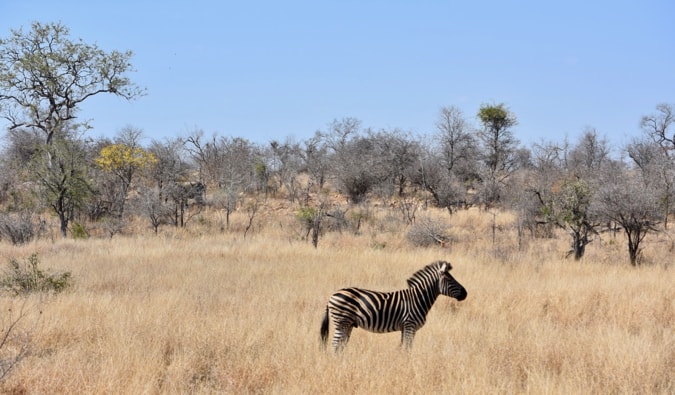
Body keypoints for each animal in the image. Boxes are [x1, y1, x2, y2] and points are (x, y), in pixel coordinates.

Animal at [320, 262, 468, 352]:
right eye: (450, 279)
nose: (465, 293)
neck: (418, 299)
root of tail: (332, 296)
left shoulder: (405, 327)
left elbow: (403, 348)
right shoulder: (410, 325)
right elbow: (407, 348)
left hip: (348, 324)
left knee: (340, 345)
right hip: (341, 321)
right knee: (335, 344)